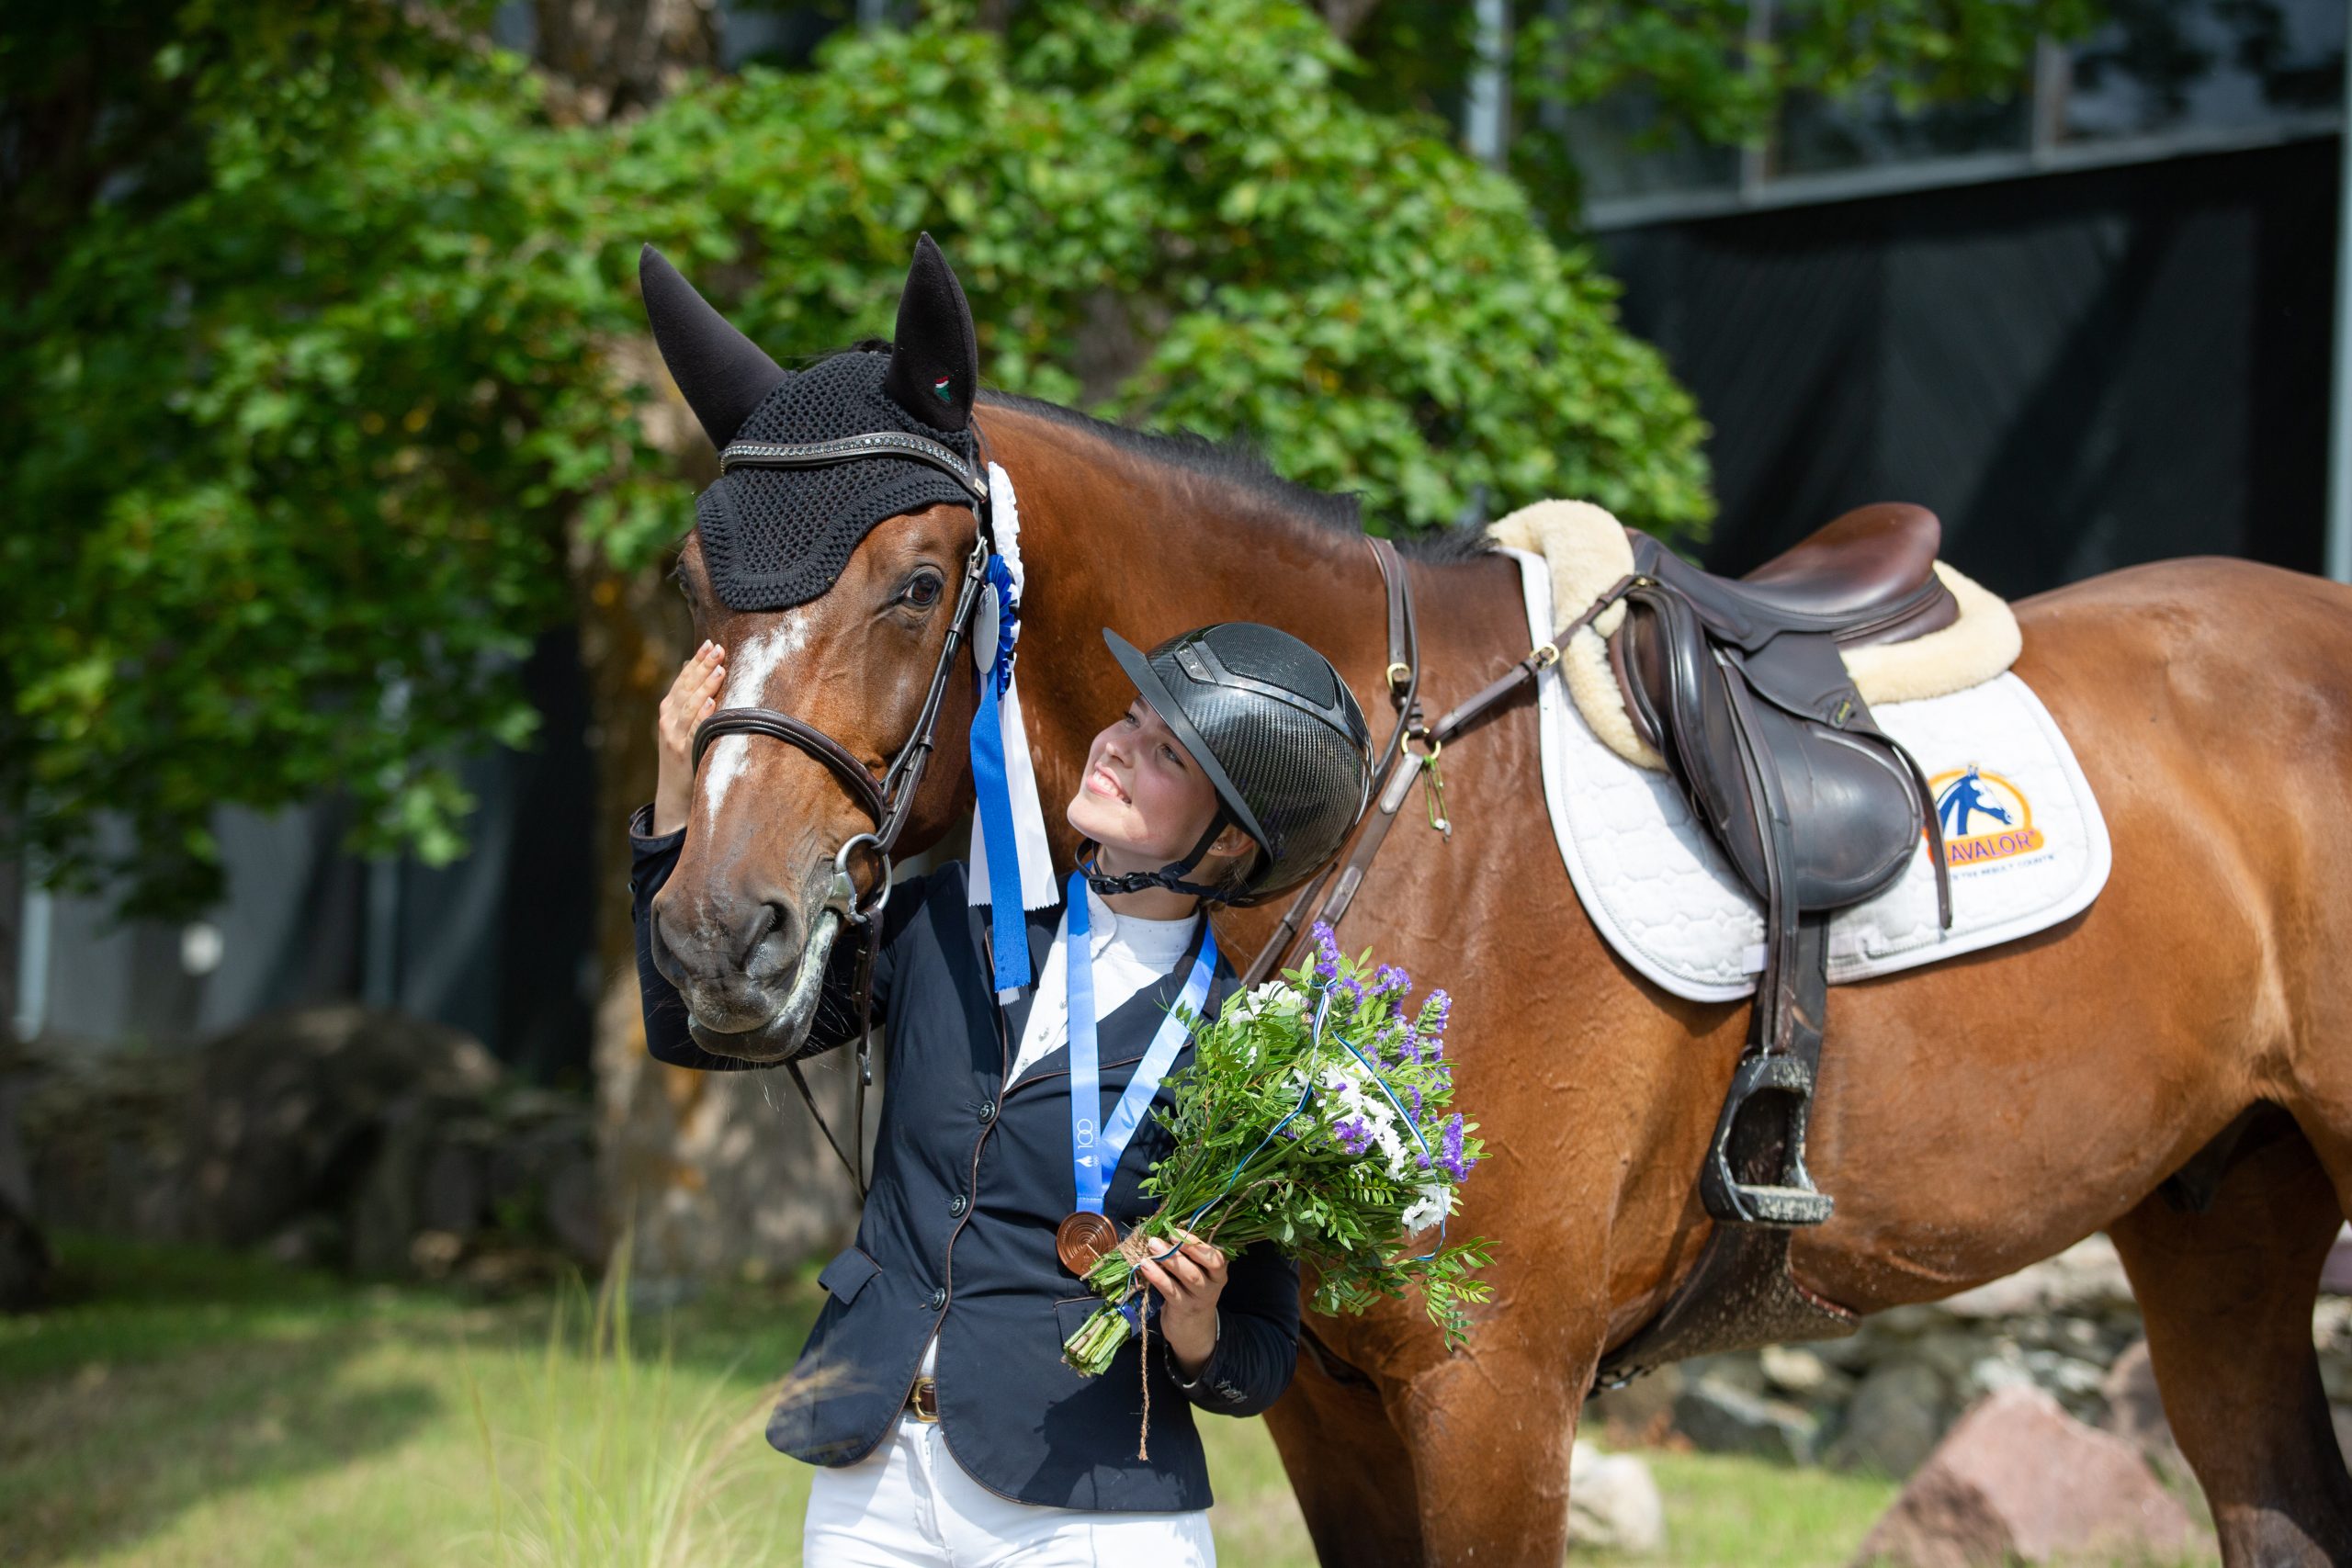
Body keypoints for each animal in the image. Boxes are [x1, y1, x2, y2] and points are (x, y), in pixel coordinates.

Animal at [653, 359, 2352, 1568]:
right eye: (692, 582)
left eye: (916, 582)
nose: (717, 936)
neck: (1373, 797)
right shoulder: (1328, 1395)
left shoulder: (1497, 1383)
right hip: (2223, 1219)